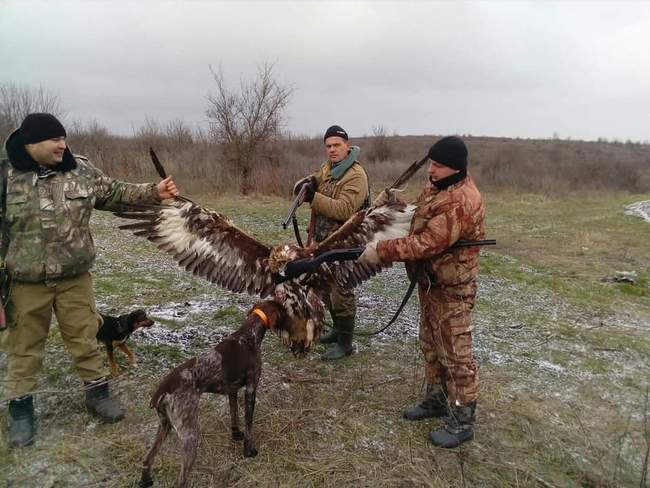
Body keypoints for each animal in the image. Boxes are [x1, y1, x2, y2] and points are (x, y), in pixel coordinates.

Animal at [138, 300, 284, 486]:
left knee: (147, 458)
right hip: (190, 435)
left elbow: (234, 415)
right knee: (181, 481)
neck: (249, 335)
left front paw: (236, 435)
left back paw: (145, 480)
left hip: (165, 425)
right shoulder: (251, 389)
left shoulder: (232, 390)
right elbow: (248, 425)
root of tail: (162, 390)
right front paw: (248, 450)